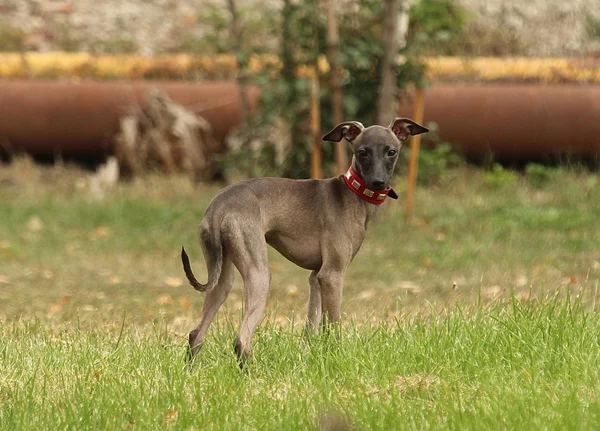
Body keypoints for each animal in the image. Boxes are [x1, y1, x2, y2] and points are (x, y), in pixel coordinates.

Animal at [180, 116, 428, 362]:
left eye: (391, 152)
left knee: (196, 334)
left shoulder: (316, 277)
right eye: (362, 152)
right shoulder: (332, 275)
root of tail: (218, 207)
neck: (351, 194)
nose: (378, 182)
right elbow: (333, 326)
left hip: (221, 277)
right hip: (259, 274)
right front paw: (337, 358)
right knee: (241, 341)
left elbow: (311, 328)